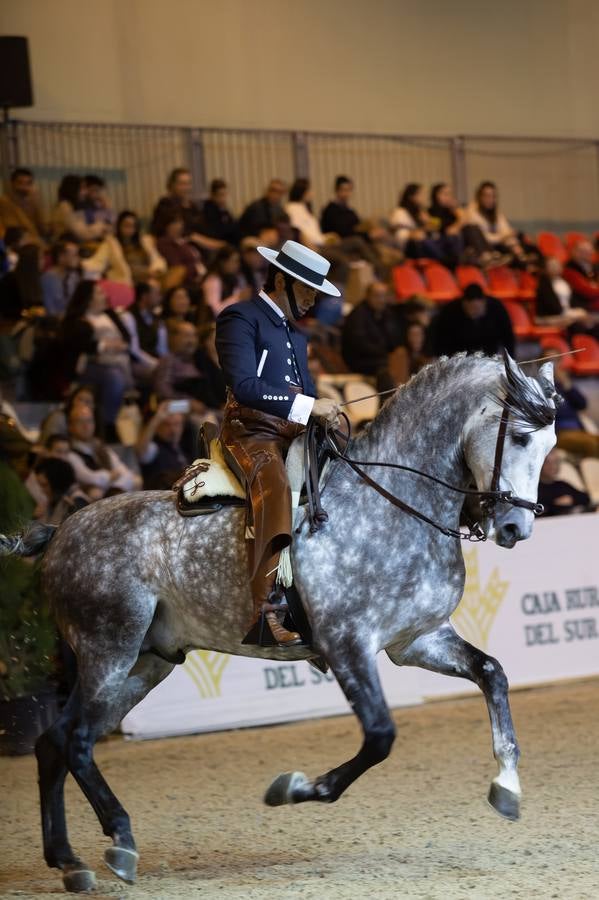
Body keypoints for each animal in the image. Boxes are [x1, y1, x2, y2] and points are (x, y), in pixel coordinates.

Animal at [2, 348, 560, 888]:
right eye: (521, 437)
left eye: (550, 444)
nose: (516, 527)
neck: (391, 503)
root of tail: (61, 529)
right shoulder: (346, 643)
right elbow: (380, 736)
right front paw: (293, 788)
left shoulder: (416, 640)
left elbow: (492, 673)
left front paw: (506, 785)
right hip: (108, 652)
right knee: (74, 741)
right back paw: (119, 843)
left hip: (145, 663)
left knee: (55, 743)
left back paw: (70, 861)